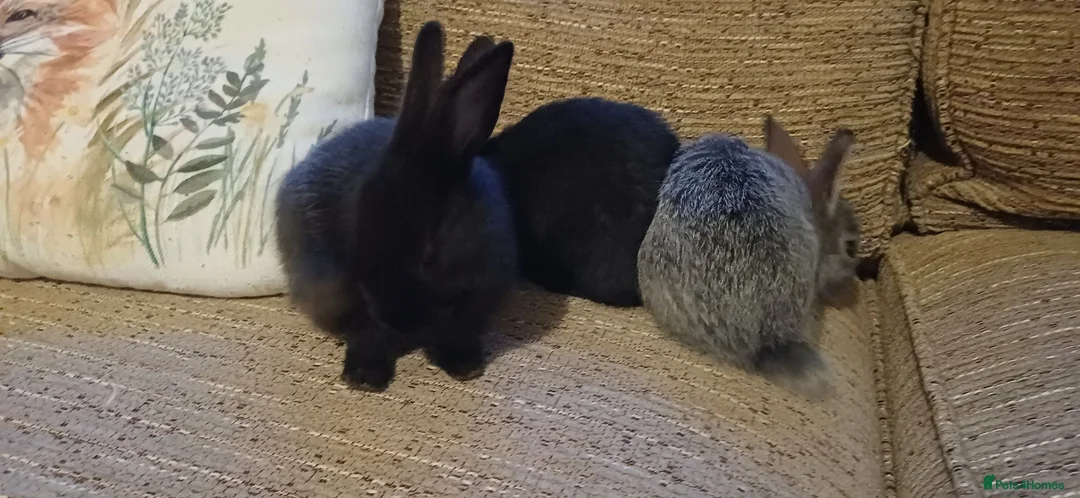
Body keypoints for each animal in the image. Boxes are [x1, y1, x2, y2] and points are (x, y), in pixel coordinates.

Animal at [274, 21, 517, 391]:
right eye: (356, 237)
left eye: (428, 255)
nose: (397, 318)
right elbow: (368, 334)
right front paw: (364, 378)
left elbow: (456, 332)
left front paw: (466, 366)